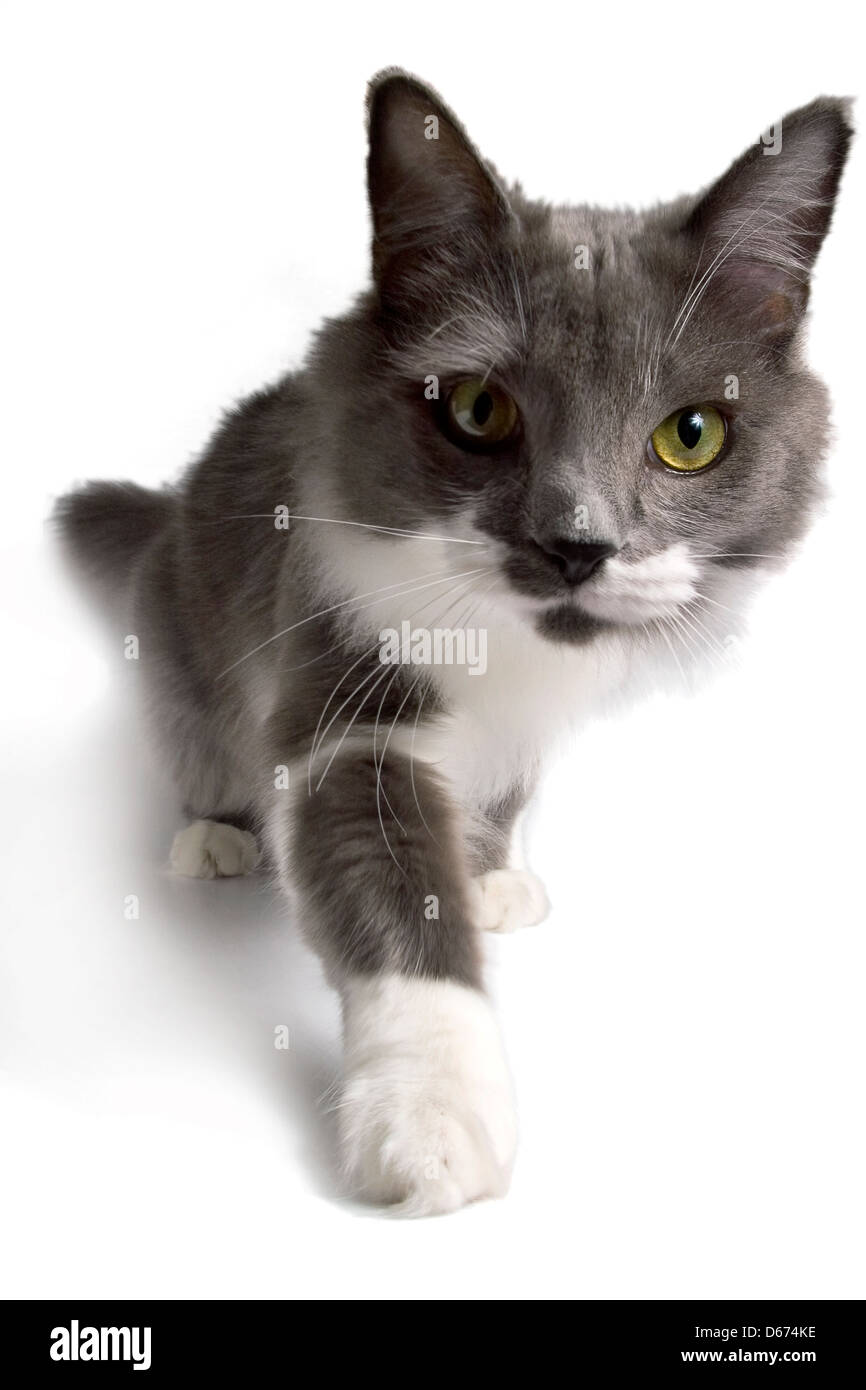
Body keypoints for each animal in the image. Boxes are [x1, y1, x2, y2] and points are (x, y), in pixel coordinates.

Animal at [59, 70, 856, 1212]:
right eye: (479, 410)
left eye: (690, 435)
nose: (578, 546)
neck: (506, 653)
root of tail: (169, 508)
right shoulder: (346, 708)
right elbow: (393, 896)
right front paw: (431, 1122)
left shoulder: (527, 731)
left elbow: (496, 802)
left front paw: (485, 875)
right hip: (181, 660)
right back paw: (215, 837)